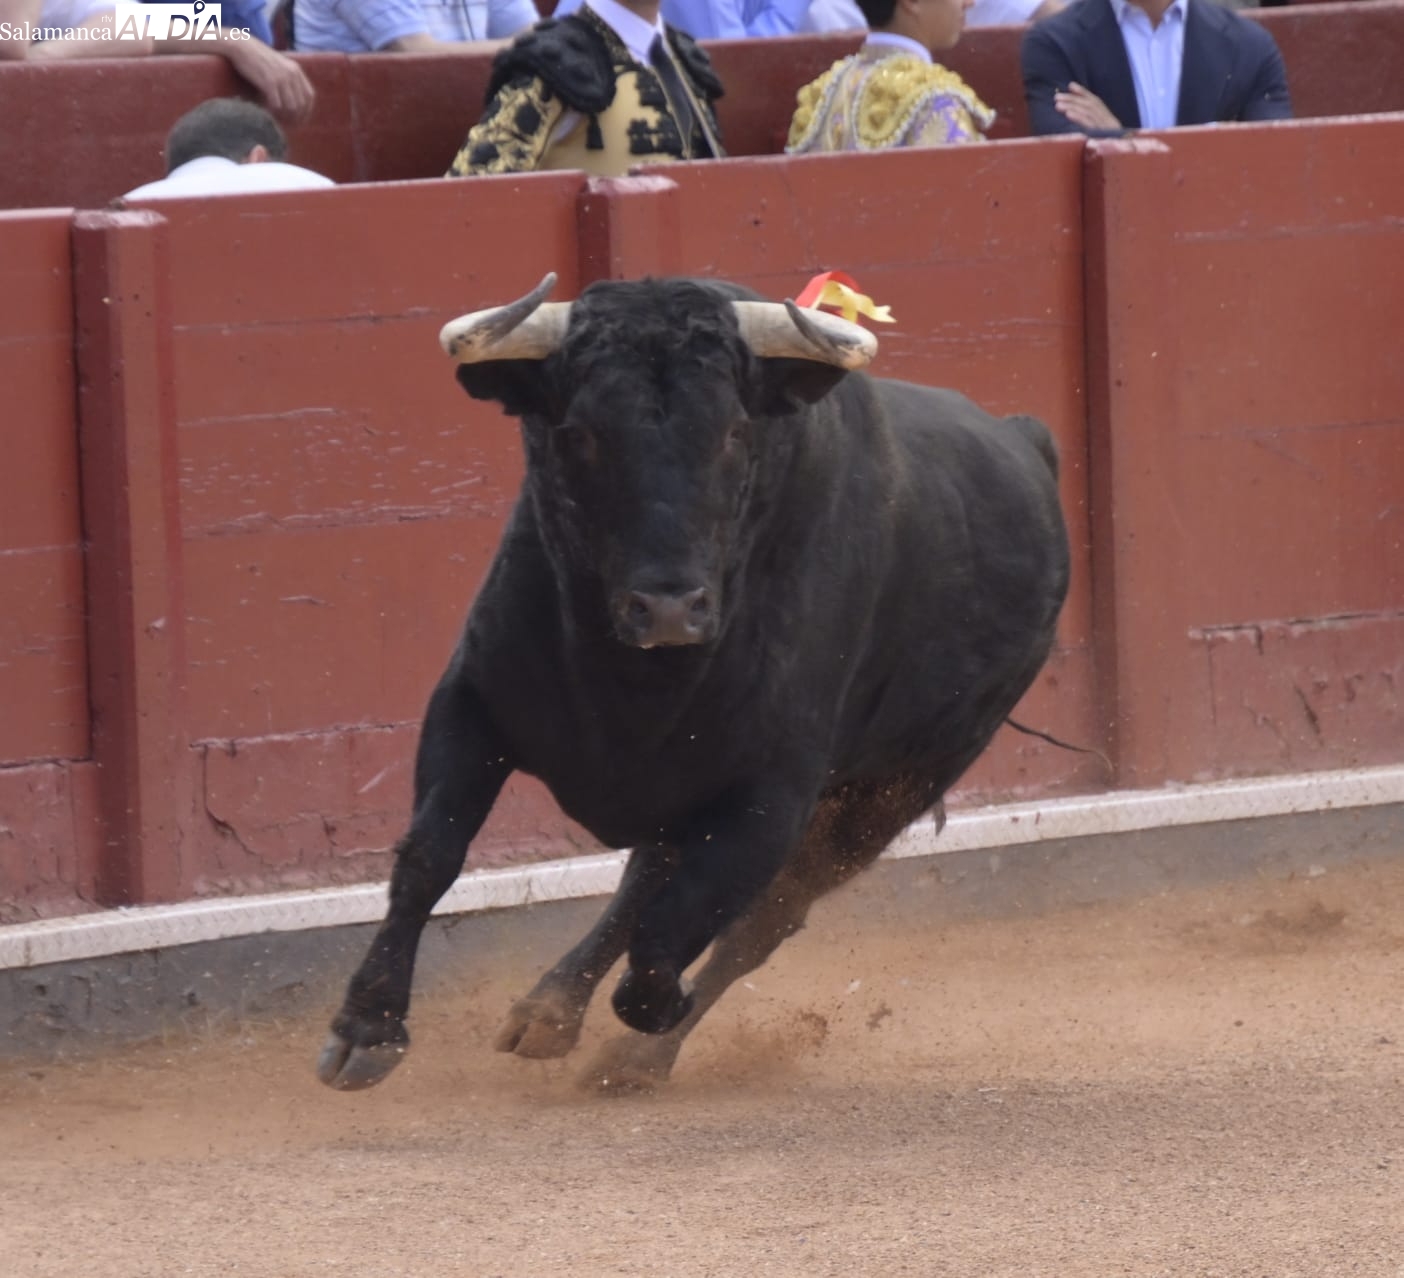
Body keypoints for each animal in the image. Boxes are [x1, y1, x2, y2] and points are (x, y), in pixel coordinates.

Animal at [316, 272, 1070, 1094]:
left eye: (735, 432)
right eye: (578, 433)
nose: (670, 607)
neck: (634, 681)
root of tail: (1026, 437)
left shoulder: (774, 793)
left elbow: (677, 932)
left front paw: (656, 1017)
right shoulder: (469, 707)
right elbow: (431, 856)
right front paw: (366, 1032)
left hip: (892, 791)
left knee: (758, 921)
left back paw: (639, 1057)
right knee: (649, 881)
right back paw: (549, 1011)